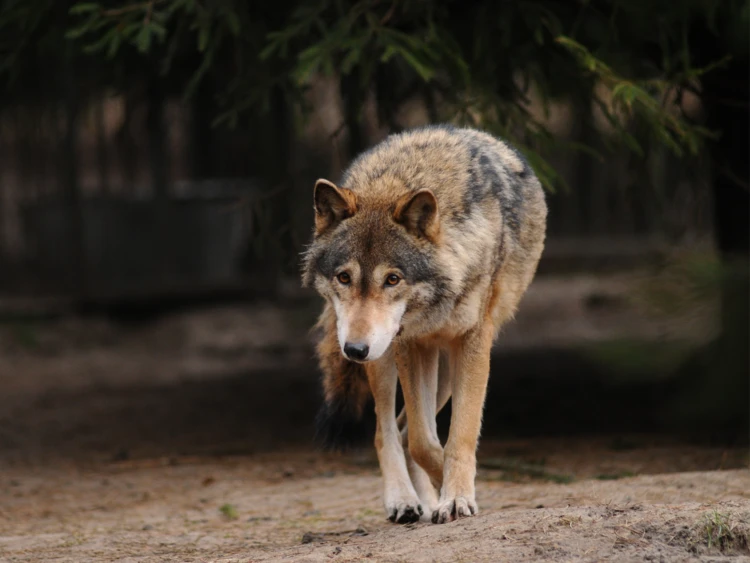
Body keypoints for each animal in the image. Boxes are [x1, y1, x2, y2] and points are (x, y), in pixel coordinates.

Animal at [302, 124, 548, 524]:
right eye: (344, 277)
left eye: (393, 279)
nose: (354, 350)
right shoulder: (408, 344)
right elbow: (422, 441)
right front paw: (450, 490)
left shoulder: (474, 342)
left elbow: (459, 435)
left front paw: (455, 496)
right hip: (386, 358)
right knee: (389, 431)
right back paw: (404, 501)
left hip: (441, 367)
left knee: (404, 429)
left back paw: (430, 501)